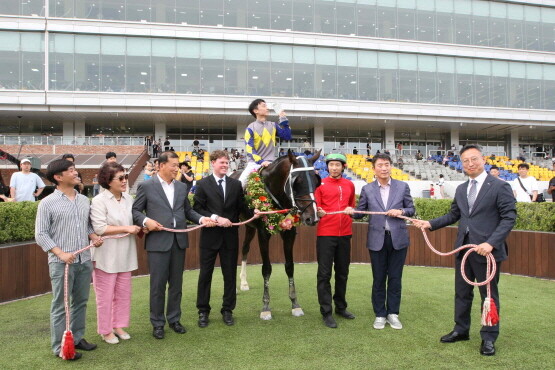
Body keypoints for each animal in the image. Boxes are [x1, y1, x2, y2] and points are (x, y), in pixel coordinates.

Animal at [232, 150, 324, 320]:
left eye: (316, 181)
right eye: (296, 182)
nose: (312, 218)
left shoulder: (289, 233)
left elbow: (290, 266)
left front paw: (295, 304)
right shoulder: (263, 234)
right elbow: (267, 268)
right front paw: (266, 307)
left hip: (249, 226)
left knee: (245, 248)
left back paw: (243, 283)